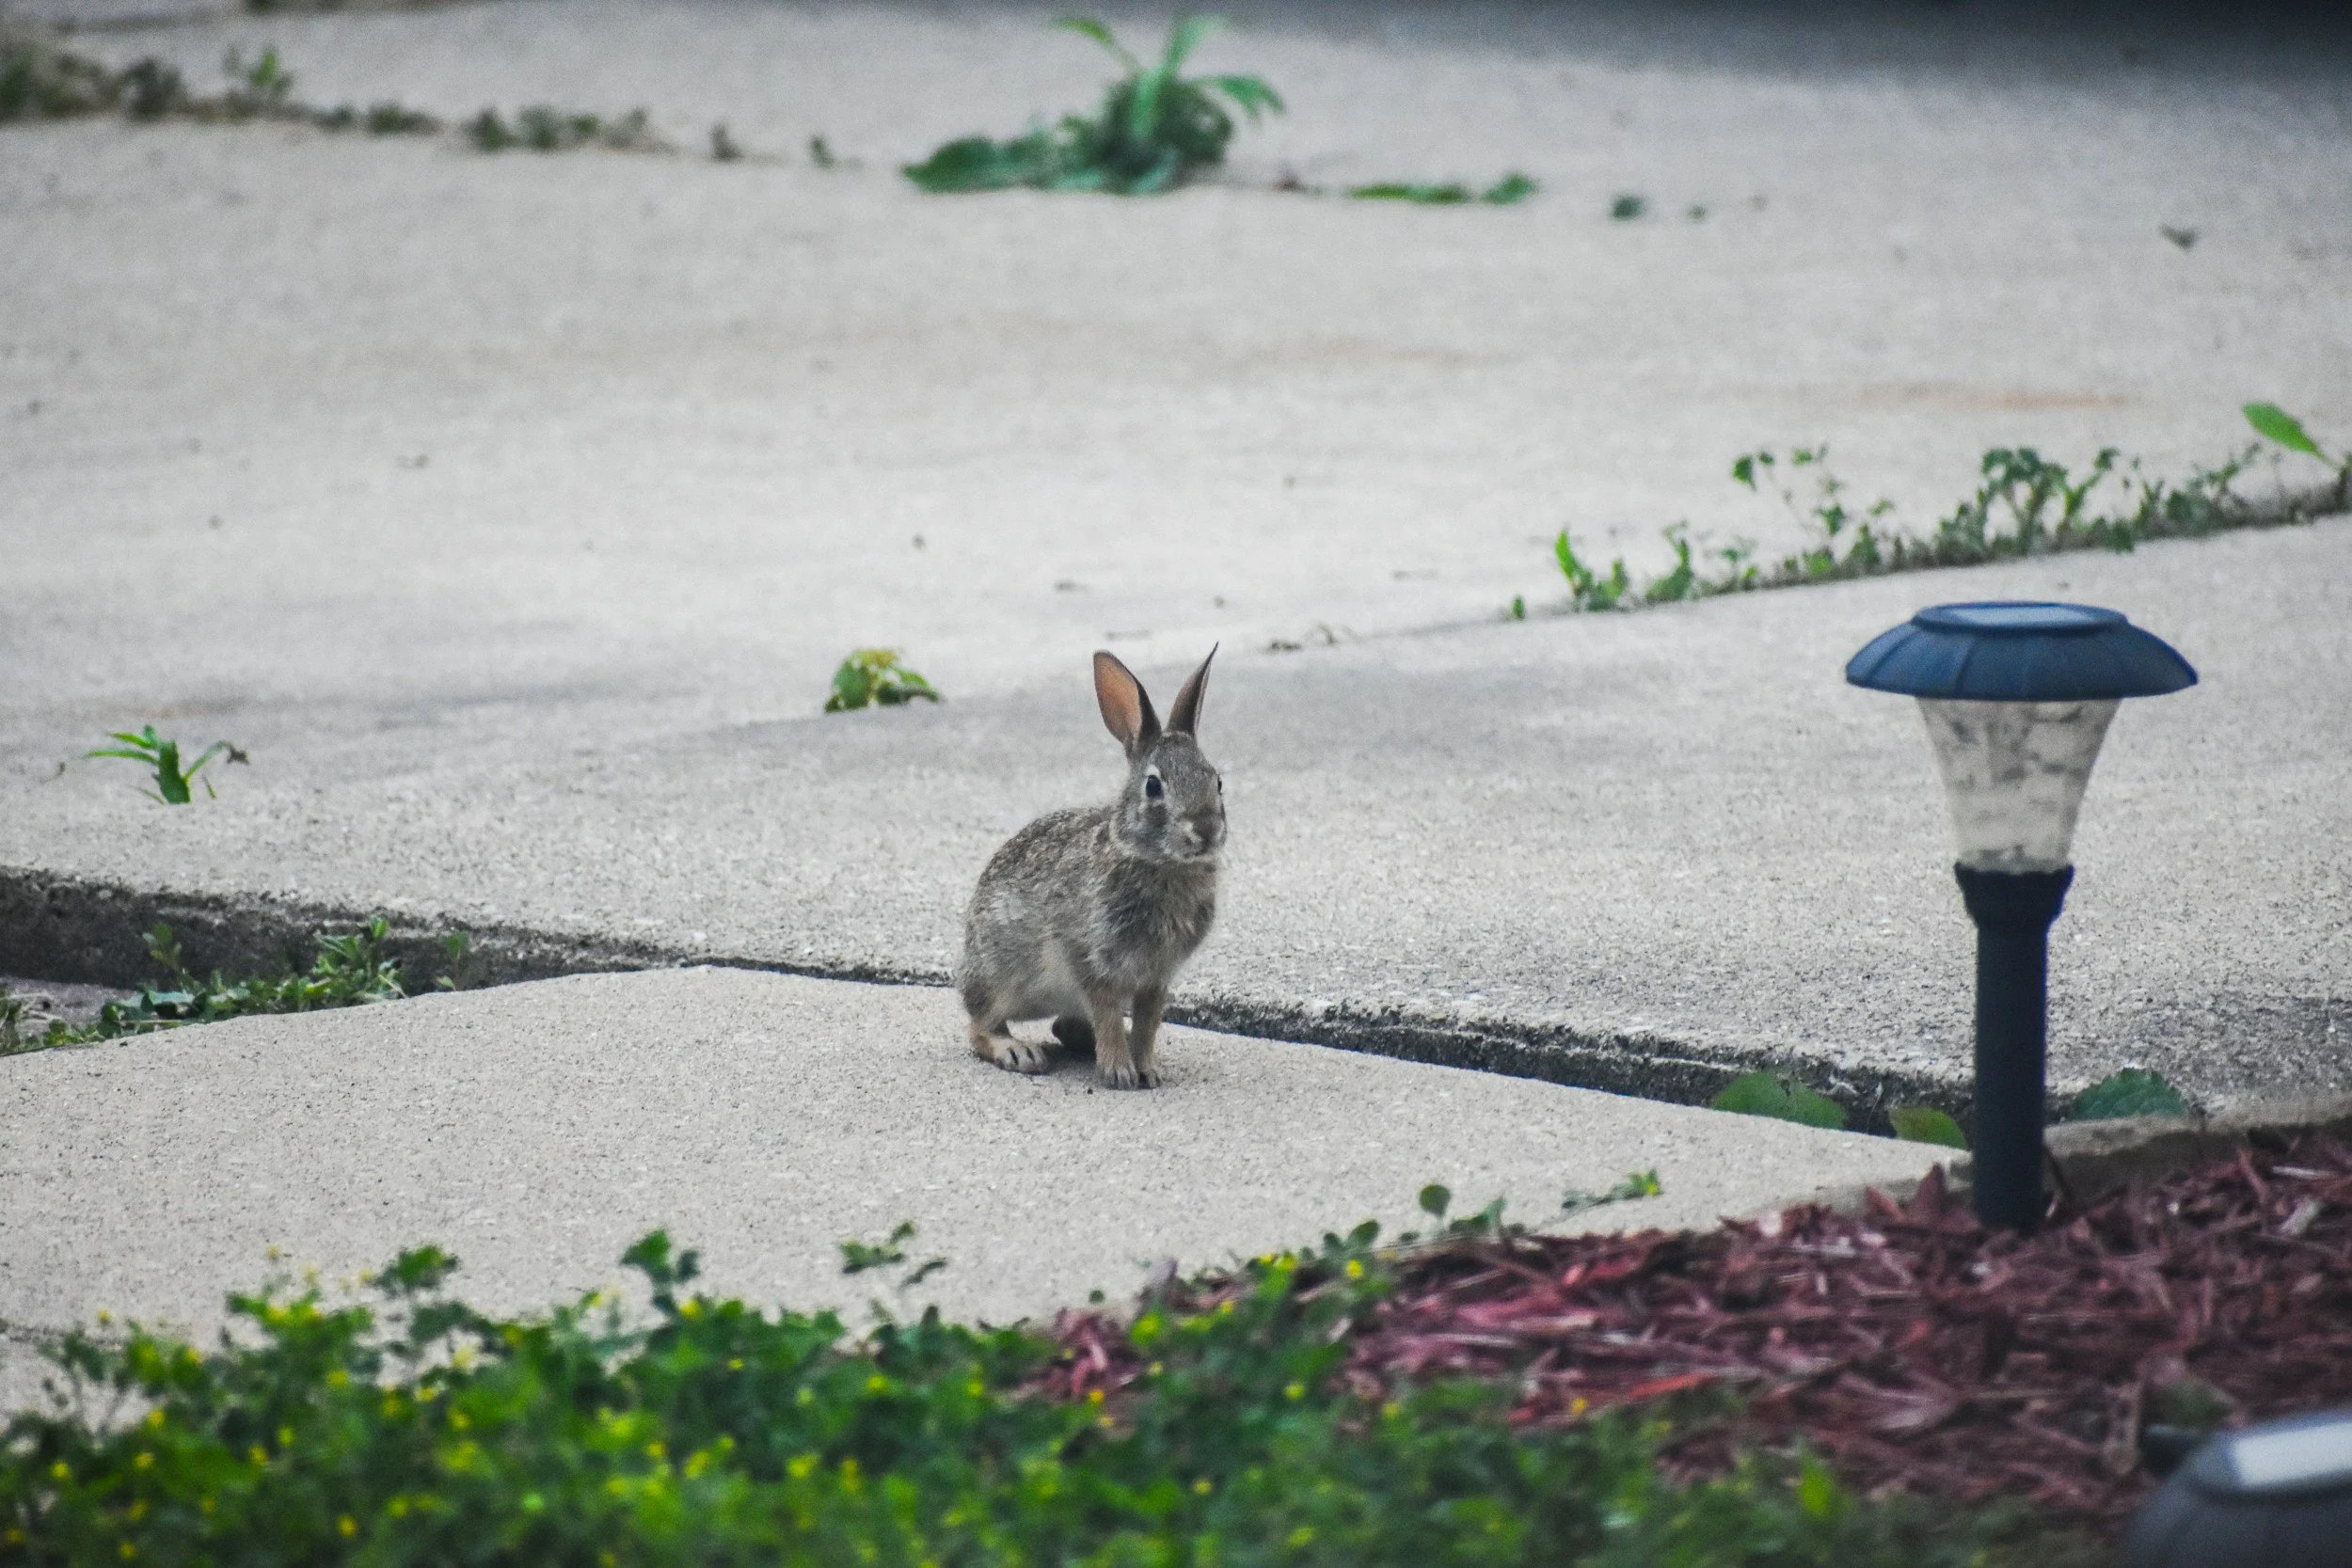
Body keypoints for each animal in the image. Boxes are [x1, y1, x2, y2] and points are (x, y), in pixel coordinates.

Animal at [959, 647, 1224, 1090]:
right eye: (1154, 786)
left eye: (1217, 781)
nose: (1206, 830)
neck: (1158, 861)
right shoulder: (1089, 959)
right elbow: (1107, 1014)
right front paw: (1119, 1072)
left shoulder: (1156, 977)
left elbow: (1148, 1023)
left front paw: (1147, 1069)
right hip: (1000, 977)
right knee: (981, 1025)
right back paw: (1018, 1051)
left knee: (1065, 1027)